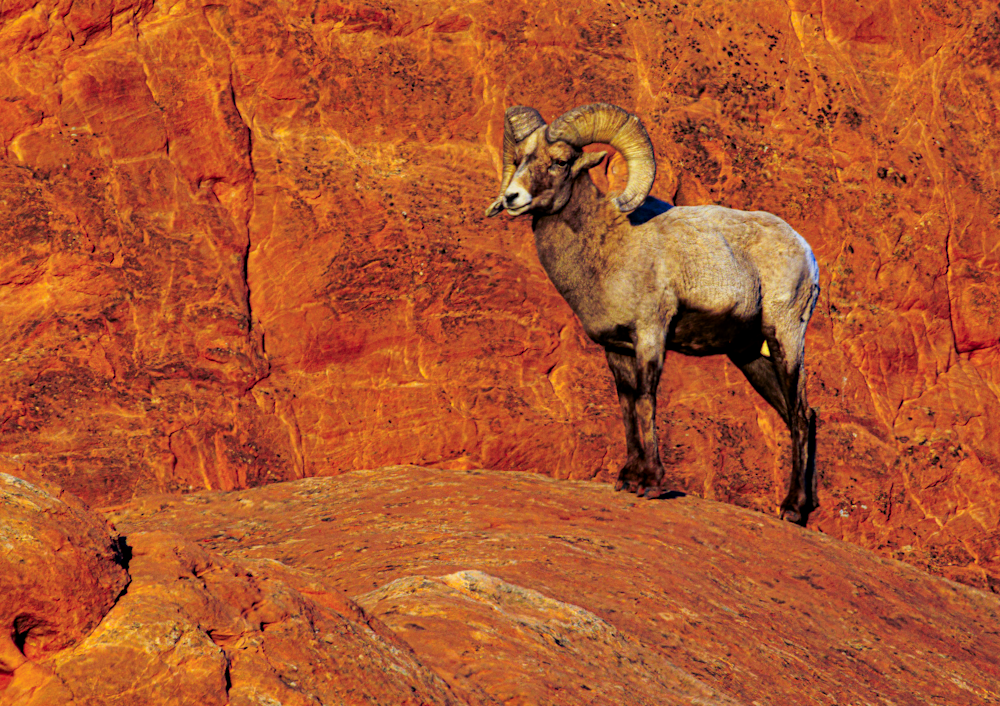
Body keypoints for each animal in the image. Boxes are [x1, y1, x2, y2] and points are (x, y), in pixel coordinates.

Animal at [486, 103, 821, 525]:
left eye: (561, 161)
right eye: (520, 159)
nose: (513, 197)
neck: (609, 246)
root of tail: (806, 252)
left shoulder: (650, 334)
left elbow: (646, 399)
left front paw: (651, 483)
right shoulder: (616, 349)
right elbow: (627, 404)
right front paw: (628, 478)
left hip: (785, 338)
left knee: (800, 413)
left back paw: (792, 509)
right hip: (748, 356)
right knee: (798, 414)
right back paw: (802, 509)